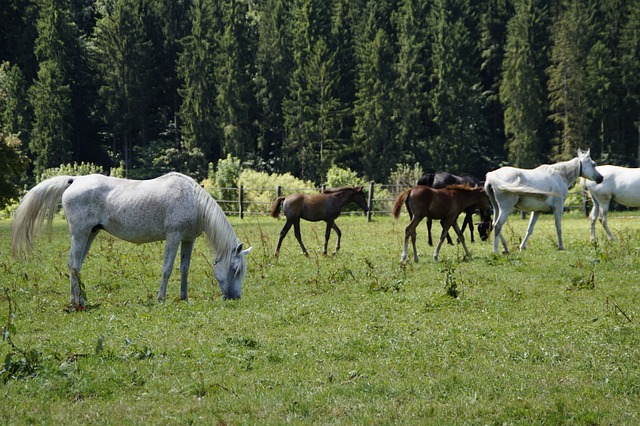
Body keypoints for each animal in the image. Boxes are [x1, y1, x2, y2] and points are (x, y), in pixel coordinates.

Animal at [11, 173, 252, 310]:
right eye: (235, 269)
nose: (235, 298)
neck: (192, 200)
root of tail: (75, 180)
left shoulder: (188, 239)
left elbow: (184, 269)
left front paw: (183, 298)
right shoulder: (173, 237)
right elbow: (167, 269)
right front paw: (161, 298)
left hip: (90, 233)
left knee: (76, 266)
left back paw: (79, 302)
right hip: (80, 234)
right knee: (73, 265)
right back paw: (76, 304)